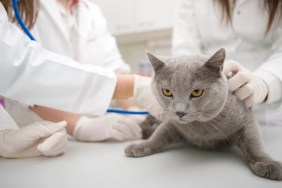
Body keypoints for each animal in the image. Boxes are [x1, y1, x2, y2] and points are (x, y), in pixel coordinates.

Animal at [125, 48, 282, 181]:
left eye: (197, 92)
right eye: (167, 92)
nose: (180, 112)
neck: (200, 129)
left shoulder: (246, 119)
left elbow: (253, 142)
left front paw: (268, 164)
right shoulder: (173, 123)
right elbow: (159, 135)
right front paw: (140, 146)